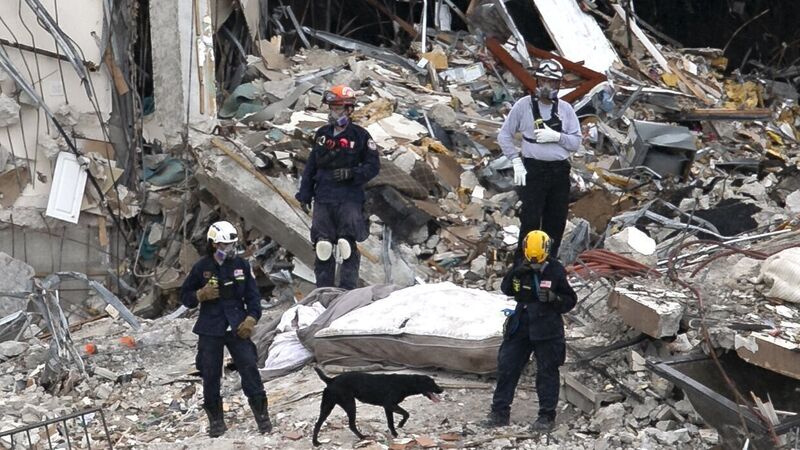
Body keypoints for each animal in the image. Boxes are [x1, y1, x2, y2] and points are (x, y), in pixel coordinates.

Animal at [312, 367, 443, 446]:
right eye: (431, 383)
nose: (442, 389)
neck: (405, 383)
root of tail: (331, 380)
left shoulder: (388, 407)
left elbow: (391, 422)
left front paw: (395, 433)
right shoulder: (389, 404)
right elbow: (406, 414)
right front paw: (400, 426)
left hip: (327, 406)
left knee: (318, 424)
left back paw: (315, 442)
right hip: (350, 405)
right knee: (351, 424)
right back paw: (362, 437)